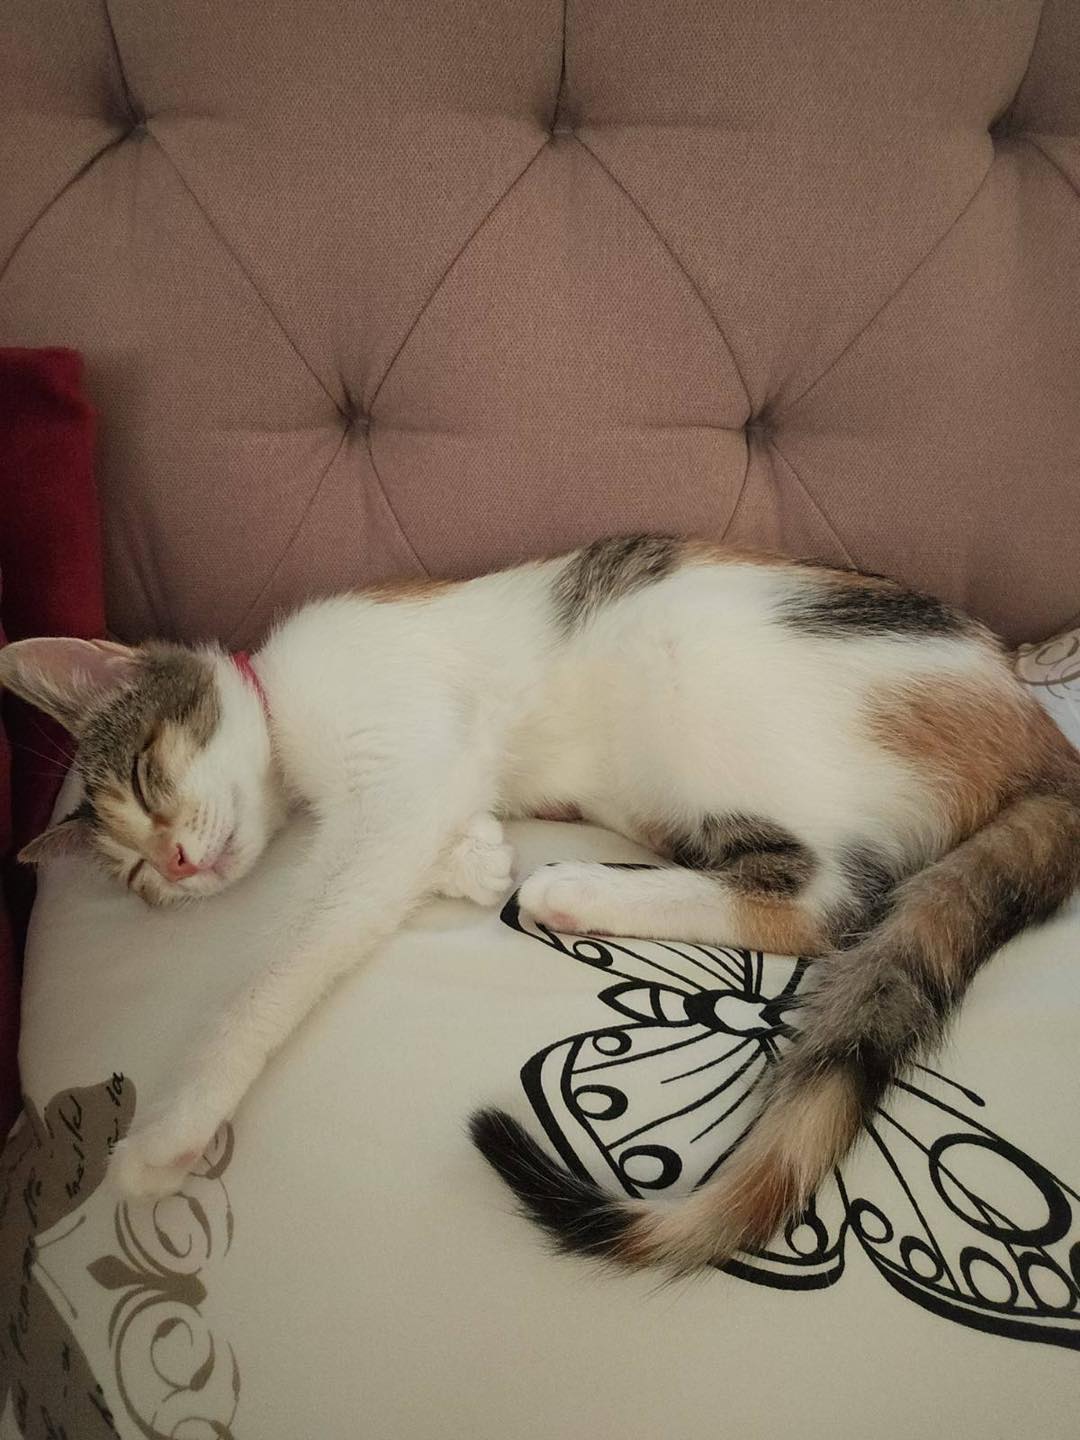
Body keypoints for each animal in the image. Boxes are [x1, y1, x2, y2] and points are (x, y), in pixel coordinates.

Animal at [2, 535, 1078, 1274]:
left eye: (147, 780)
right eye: (134, 877)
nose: (180, 865)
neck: (287, 746)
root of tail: (1040, 732)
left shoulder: (401, 768)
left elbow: (296, 947)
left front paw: (174, 1123)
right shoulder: (427, 788)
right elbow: (429, 837)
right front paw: (475, 858)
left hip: (684, 652)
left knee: (833, 905)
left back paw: (572, 888)